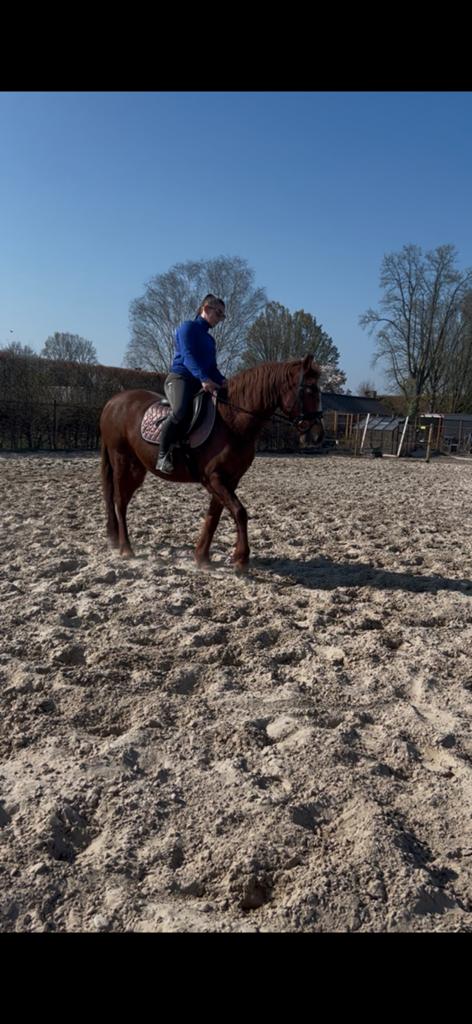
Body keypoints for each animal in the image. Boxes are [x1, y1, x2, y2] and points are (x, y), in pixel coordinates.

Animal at [99, 354, 324, 569]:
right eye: (309, 390)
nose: (317, 435)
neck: (232, 421)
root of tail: (113, 402)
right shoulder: (214, 478)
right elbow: (239, 512)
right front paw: (241, 559)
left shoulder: (230, 479)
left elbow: (214, 516)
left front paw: (202, 558)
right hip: (123, 463)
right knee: (119, 501)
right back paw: (126, 548)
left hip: (137, 469)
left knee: (120, 499)